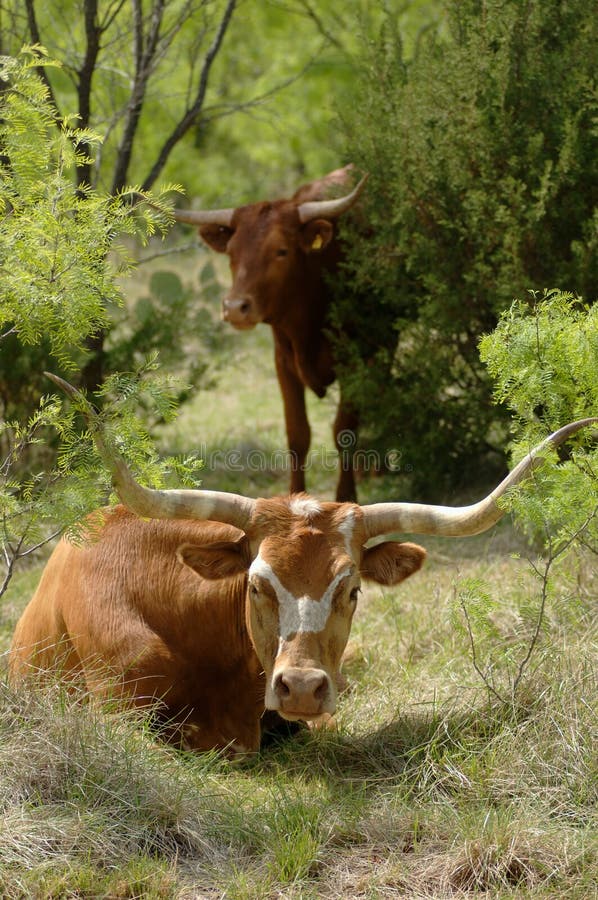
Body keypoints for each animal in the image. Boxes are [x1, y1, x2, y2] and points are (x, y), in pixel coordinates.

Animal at [173, 165, 368, 502]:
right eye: (232, 253)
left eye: (281, 251)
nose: (235, 307)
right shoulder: (283, 362)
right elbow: (298, 434)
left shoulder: (362, 358)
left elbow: (344, 430)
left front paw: (346, 498)